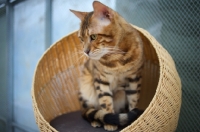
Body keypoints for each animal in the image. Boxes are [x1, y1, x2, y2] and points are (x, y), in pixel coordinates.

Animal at [70, 1, 145, 131]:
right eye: (81, 39)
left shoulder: (134, 79)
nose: (85, 51)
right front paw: (110, 123)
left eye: (93, 36)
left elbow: (133, 100)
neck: (117, 59)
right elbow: (105, 101)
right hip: (86, 89)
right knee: (89, 111)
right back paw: (96, 121)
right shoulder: (101, 80)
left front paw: (134, 120)